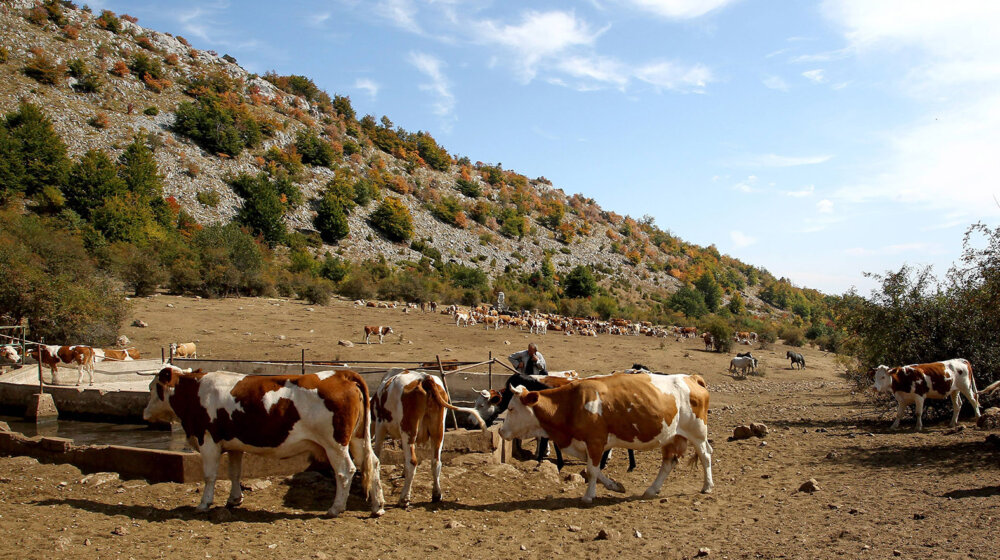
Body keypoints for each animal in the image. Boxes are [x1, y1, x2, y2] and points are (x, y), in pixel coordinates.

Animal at [143, 368, 384, 516]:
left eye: (152, 387)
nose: (145, 413)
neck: (195, 392)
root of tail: (341, 374)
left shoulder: (209, 441)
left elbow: (210, 476)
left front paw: (204, 504)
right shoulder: (234, 445)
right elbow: (234, 473)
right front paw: (234, 499)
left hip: (335, 445)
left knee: (345, 471)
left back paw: (336, 508)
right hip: (358, 439)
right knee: (372, 463)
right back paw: (377, 506)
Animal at [374, 368, 486, 508]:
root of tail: (424, 378)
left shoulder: (380, 426)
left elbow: (377, 453)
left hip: (408, 429)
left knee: (412, 462)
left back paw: (404, 499)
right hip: (438, 430)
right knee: (436, 462)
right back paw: (436, 494)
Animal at [500, 372, 712, 504]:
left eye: (511, 408)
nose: (501, 431)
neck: (570, 404)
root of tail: (691, 378)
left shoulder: (595, 441)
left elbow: (592, 470)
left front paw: (588, 496)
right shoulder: (584, 444)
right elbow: (594, 470)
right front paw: (615, 486)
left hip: (697, 433)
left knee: (705, 456)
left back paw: (707, 486)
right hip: (671, 437)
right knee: (668, 463)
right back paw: (652, 490)